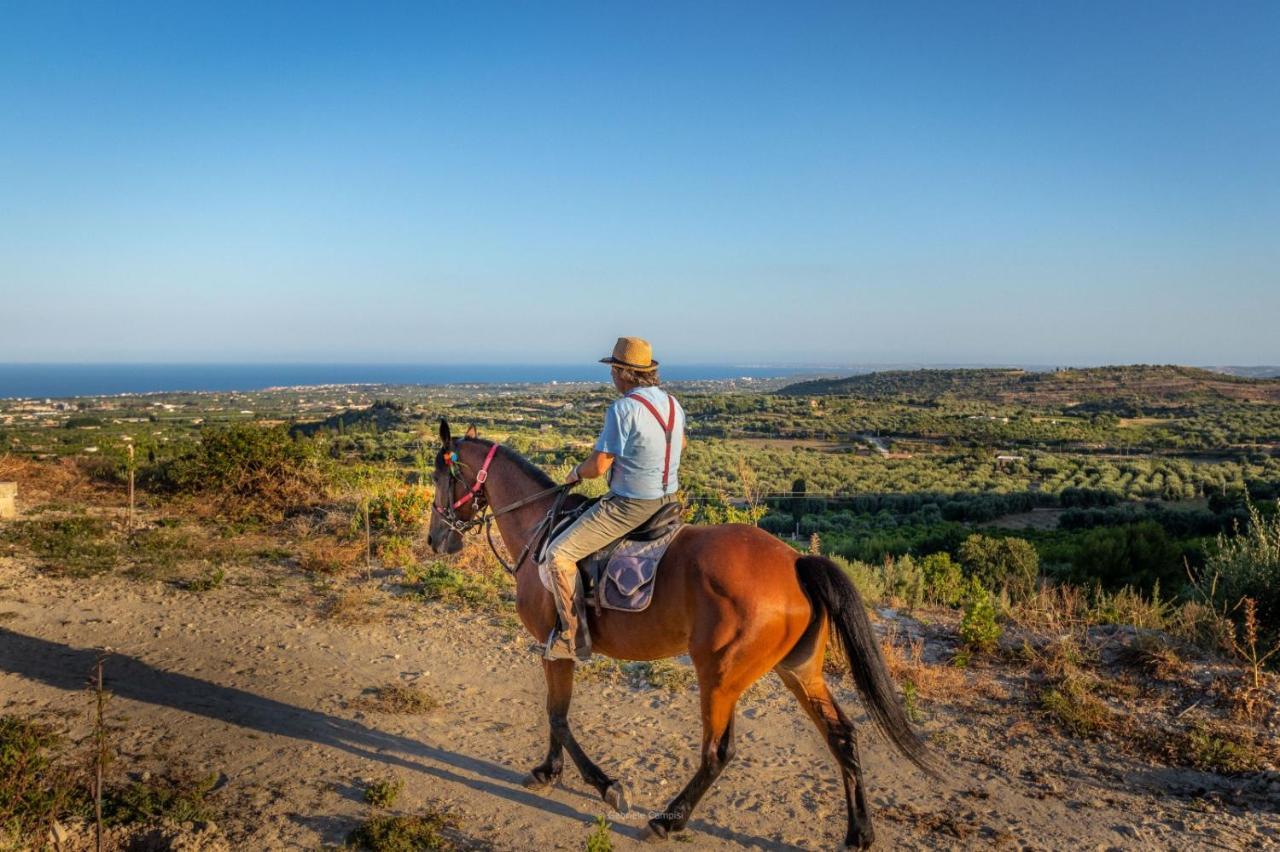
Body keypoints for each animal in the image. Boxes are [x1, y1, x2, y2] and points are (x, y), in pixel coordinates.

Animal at [427, 417, 931, 844]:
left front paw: (606, 786)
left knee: (718, 752)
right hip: (798, 671)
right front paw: (548, 772)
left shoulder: (558, 644)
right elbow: (556, 714)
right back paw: (859, 833)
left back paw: (668, 821)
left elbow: (558, 716)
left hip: (720, 675)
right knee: (841, 735)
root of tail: (795, 562)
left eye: (439, 478)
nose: (436, 539)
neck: (541, 529)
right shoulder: (556, 649)